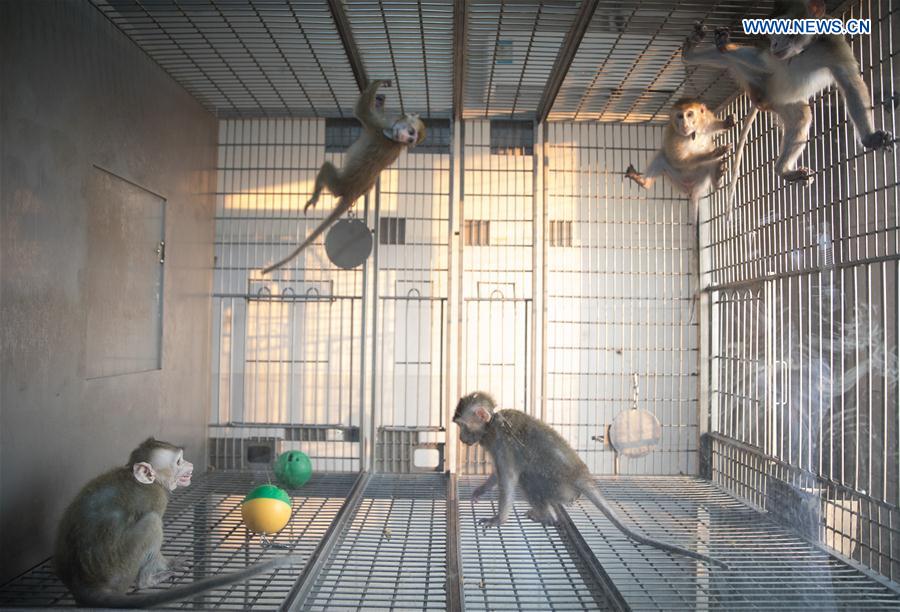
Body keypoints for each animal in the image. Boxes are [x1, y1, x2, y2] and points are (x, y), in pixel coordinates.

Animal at [54, 437, 298, 608]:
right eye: (178, 461)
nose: (189, 464)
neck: (142, 479)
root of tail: (82, 583)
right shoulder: (158, 497)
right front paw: (167, 564)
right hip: (122, 568)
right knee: (152, 522)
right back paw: (147, 580)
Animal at [261, 79, 425, 274]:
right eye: (411, 134)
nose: (405, 138)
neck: (395, 140)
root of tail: (352, 192)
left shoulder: (378, 127)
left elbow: (361, 111)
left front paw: (377, 83)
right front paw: (380, 99)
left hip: (338, 184)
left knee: (326, 167)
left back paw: (315, 196)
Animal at [454, 392, 728, 569]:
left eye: (461, 425)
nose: (460, 438)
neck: (491, 424)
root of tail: (582, 477)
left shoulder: (500, 439)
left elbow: (509, 477)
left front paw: (498, 519)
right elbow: (497, 475)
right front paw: (481, 490)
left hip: (559, 486)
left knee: (529, 479)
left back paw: (546, 516)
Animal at [681, 0, 893, 219]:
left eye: (784, 26)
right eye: (771, 32)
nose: (774, 43)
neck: (804, 49)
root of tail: (762, 98)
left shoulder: (833, 42)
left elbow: (850, 83)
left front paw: (870, 138)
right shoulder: (773, 57)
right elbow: (762, 59)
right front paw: (724, 43)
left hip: (782, 99)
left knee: (801, 117)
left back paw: (783, 170)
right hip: (753, 77)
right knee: (735, 60)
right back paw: (692, 53)